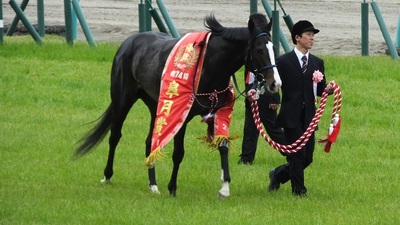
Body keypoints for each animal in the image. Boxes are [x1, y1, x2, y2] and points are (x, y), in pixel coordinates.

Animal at [75, 13, 282, 198]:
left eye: (273, 48)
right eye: (258, 49)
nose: (275, 83)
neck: (209, 66)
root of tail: (129, 42)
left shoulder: (217, 113)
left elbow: (222, 146)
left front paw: (224, 188)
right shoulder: (182, 115)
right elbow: (178, 153)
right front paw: (172, 187)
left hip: (156, 106)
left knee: (151, 142)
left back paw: (153, 184)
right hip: (123, 100)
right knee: (115, 136)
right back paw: (107, 176)